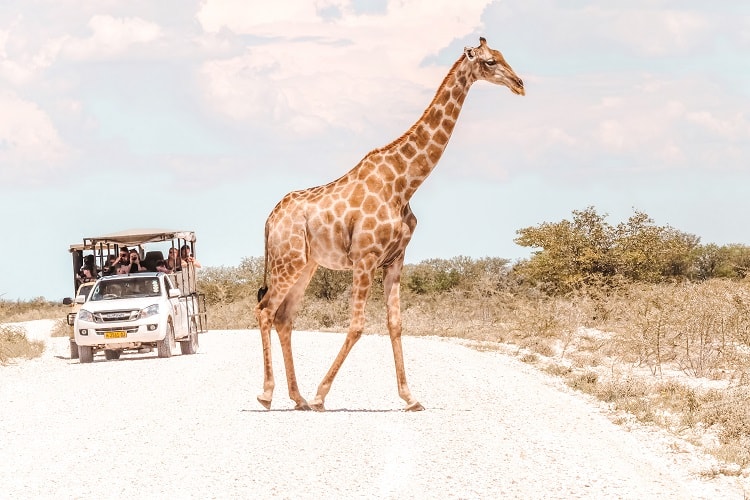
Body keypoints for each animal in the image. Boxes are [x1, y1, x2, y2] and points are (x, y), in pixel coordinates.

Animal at [256, 36, 524, 410]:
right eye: (489, 62)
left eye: (501, 56)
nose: (519, 84)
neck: (404, 182)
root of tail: (271, 218)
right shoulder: (365, 258)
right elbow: (356, 325)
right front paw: (323, 394)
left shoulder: (395, 259)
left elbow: (395, 323)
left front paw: (410, 398)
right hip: (287, 261)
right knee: (265, 311)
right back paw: (268, 394)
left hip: (305, 265)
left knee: (283, 318)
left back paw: (298, 398)